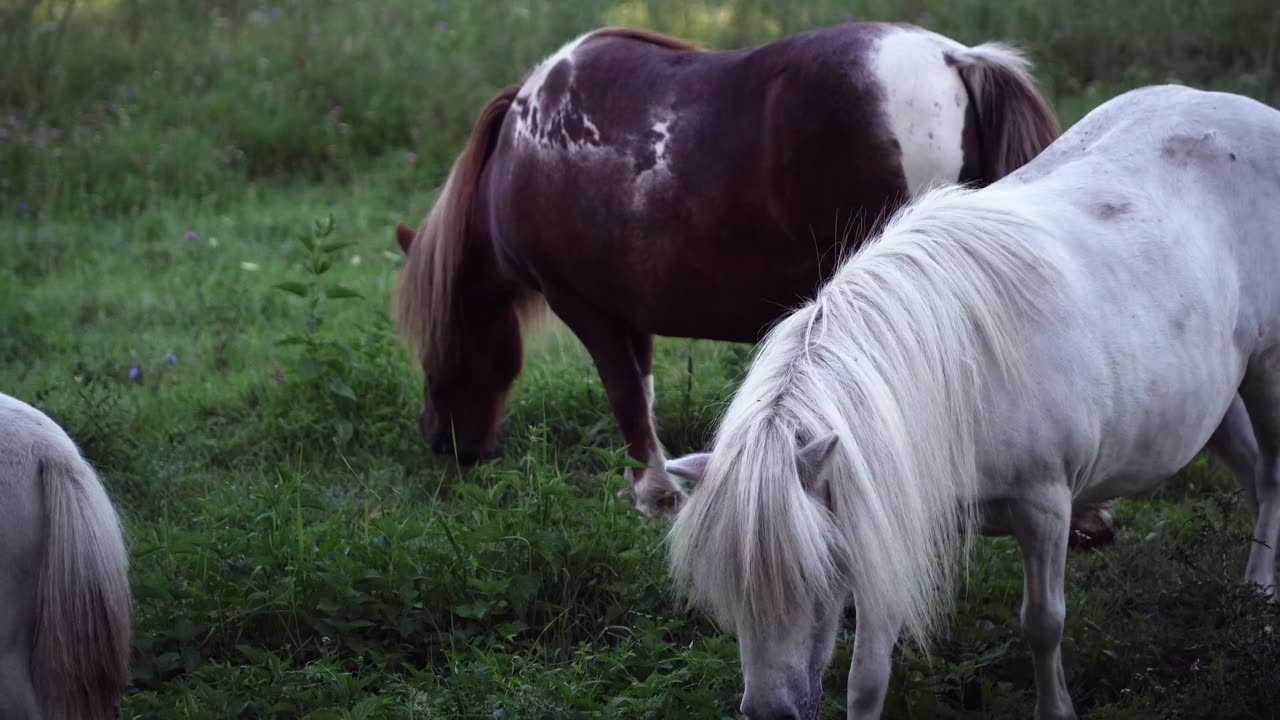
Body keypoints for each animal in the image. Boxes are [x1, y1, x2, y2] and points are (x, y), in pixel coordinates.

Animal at [391, 20, 1059, 515]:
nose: (443, 442)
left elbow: (625, 398)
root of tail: (954, 57)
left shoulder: (585, 308)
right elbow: (643, 393)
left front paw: (654, 497)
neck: (522, 148)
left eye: (440, 340)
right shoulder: (632, 314)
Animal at [665, 85, 1280, 717]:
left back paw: (1258, 597)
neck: (957, 381)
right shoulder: (887, 517)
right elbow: (868, 672)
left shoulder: (1044, 507)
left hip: (1266, 369)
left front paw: (1055, 708)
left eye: (817, 571)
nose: (770, 711)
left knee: (1271, 478)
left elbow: (1043, 623)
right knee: (1251, 473)